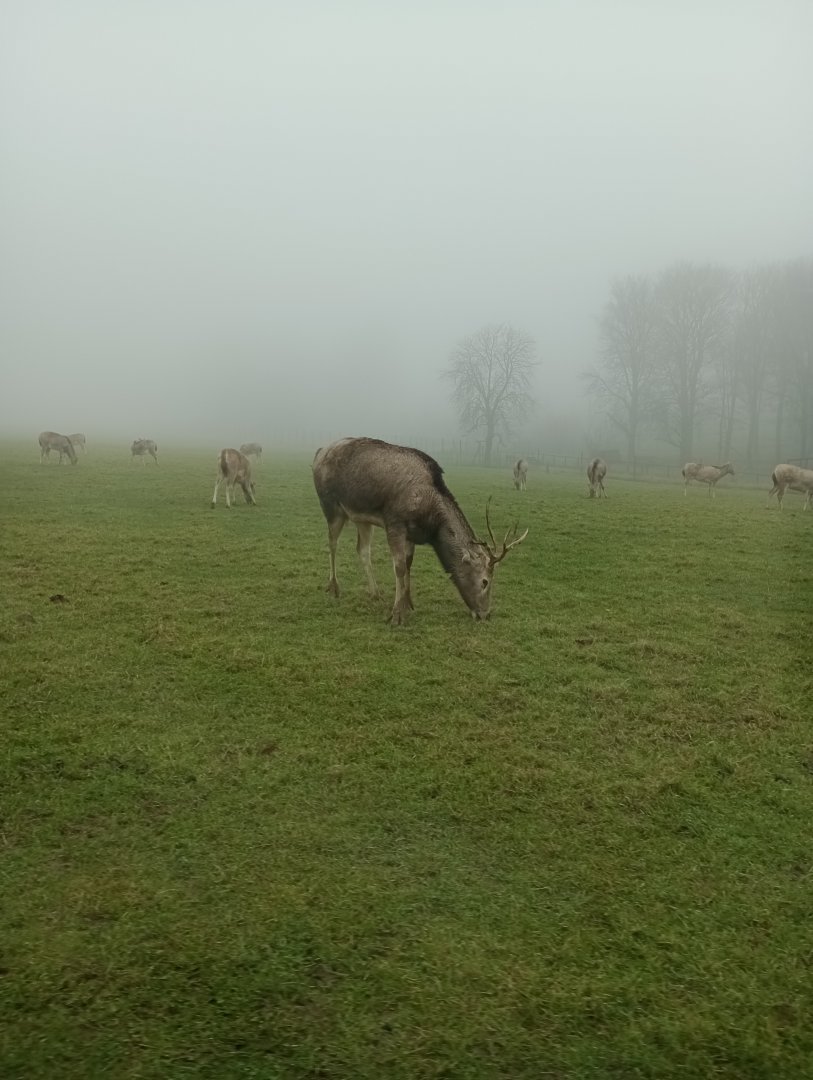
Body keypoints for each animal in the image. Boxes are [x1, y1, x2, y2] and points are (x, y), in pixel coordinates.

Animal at [312, 437, 528, 625]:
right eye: (485, 582)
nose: (485, 614)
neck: (430, 524)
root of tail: (319, 452)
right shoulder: (395, 523)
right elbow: (399, 567)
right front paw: (396, 615)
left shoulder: (411, 533)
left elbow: (408, 564)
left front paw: (407, 603)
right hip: (330, 505)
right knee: (332, 543)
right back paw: (334, 587)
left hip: (361, 517)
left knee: (363, 550)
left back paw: (375, 592)